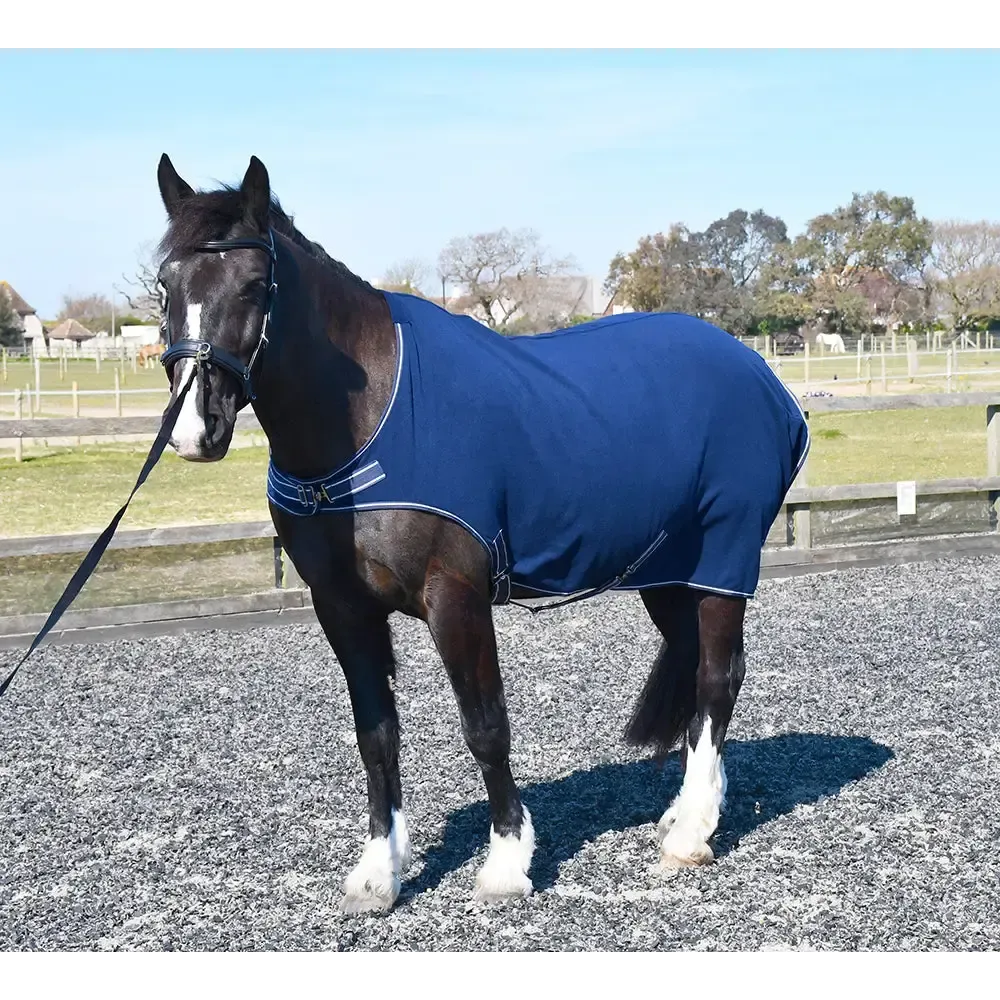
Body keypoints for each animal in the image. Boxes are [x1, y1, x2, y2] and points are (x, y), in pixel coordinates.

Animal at [152, 153, 810, 913]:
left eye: (255, 284)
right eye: (164, 285)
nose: (194, 429)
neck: (372, 421)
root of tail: (760, 374)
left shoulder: (455, 597)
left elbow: (486, 726)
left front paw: (506, 862)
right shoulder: (342, 609)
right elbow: (376, 735)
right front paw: (380, 873)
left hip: (722, 563)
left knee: (717, 677)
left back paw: (690, 835)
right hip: (669, 573)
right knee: (698, 671)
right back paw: (684, 811)